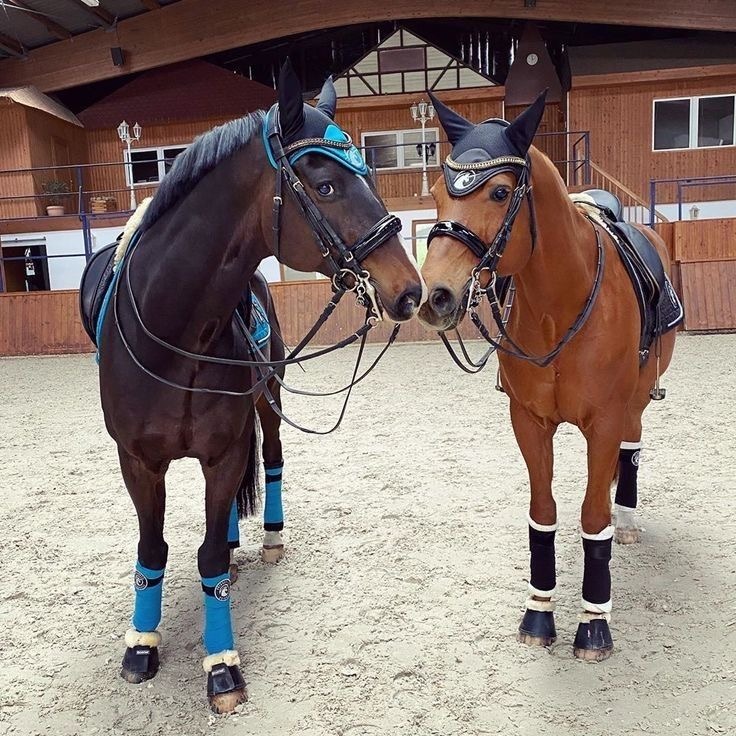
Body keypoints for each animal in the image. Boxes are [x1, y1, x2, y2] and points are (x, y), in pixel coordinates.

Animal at [83, 60, 423, 712]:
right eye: (327, 186)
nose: (410, 289)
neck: (175, 332)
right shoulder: (137, 460)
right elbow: (152, 551)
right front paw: (141, 645)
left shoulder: (224, 449)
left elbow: (211, 552)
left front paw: (221, 666)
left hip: (269, 401)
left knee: (271, 459)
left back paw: (265, 537)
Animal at [418, 91, 681, 660]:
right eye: (438, 193)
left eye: (499, 192)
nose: (434, 296)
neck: (558, 308)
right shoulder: (529, 422)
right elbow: (543, 514)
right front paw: (539, 614)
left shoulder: (604, 422)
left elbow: (592, 519)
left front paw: (594, 623)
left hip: (635, 399)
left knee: (631, 448)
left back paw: (627, 519)